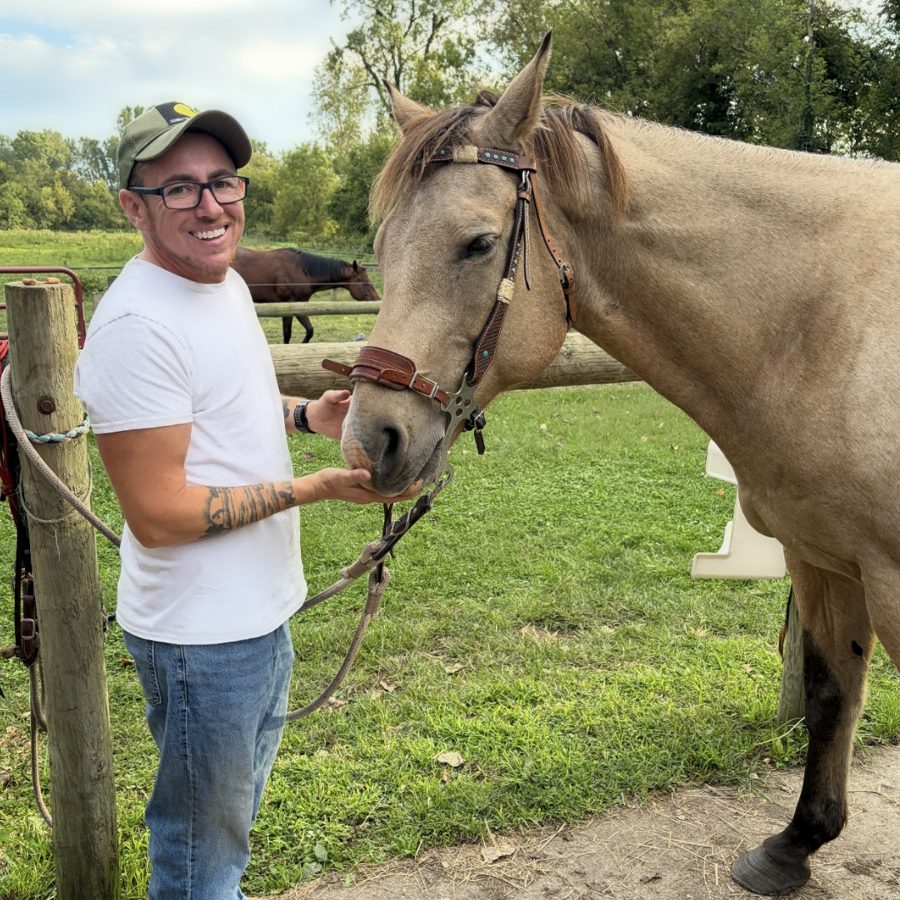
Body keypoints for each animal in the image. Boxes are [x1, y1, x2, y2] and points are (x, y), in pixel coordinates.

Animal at [232, 247, 380, 343]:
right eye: (365, 283)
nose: (378, 300)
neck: (301, 271)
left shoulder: (300, 306)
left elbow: (310, 330)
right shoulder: (288, 306)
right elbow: (287, 334)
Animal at [331, 34, 900, 897]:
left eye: (478, 244)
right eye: (383, 248)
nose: (372, 441)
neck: (826, 320)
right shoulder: (823, 559)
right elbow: (833, 693)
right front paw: (795, 844)